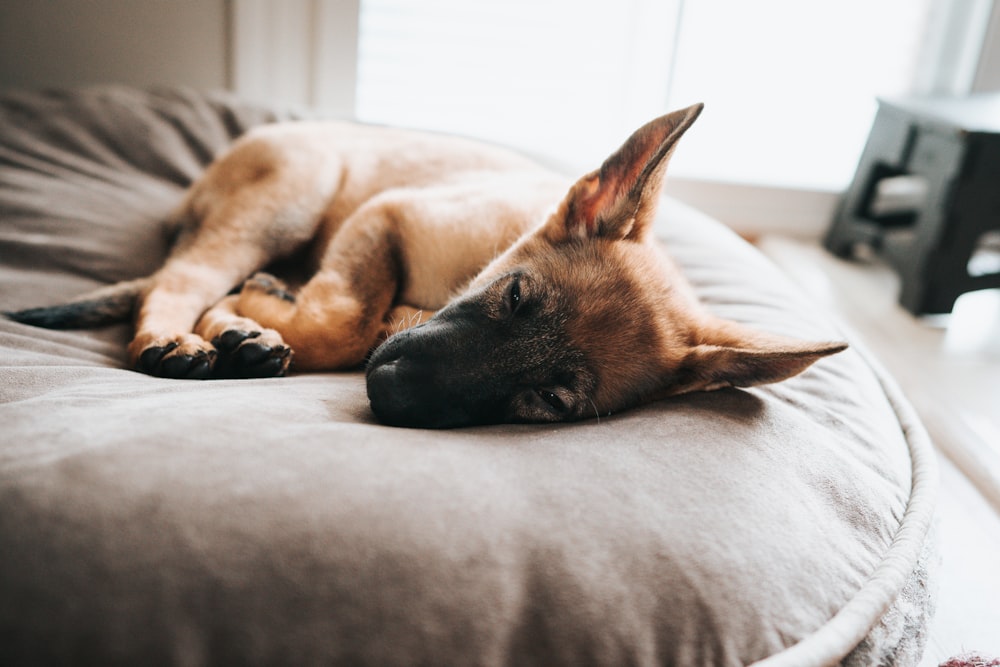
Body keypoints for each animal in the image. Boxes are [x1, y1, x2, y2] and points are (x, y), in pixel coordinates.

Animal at [3, 104, 844, 428]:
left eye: (549, 399)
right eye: (515, 297)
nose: (390, 390)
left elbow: (350, 321)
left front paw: (250, 320)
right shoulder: (390, 213)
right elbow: (342, 322)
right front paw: (249, 316)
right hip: (295, 193)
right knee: (181, 277)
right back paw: (175, 336)